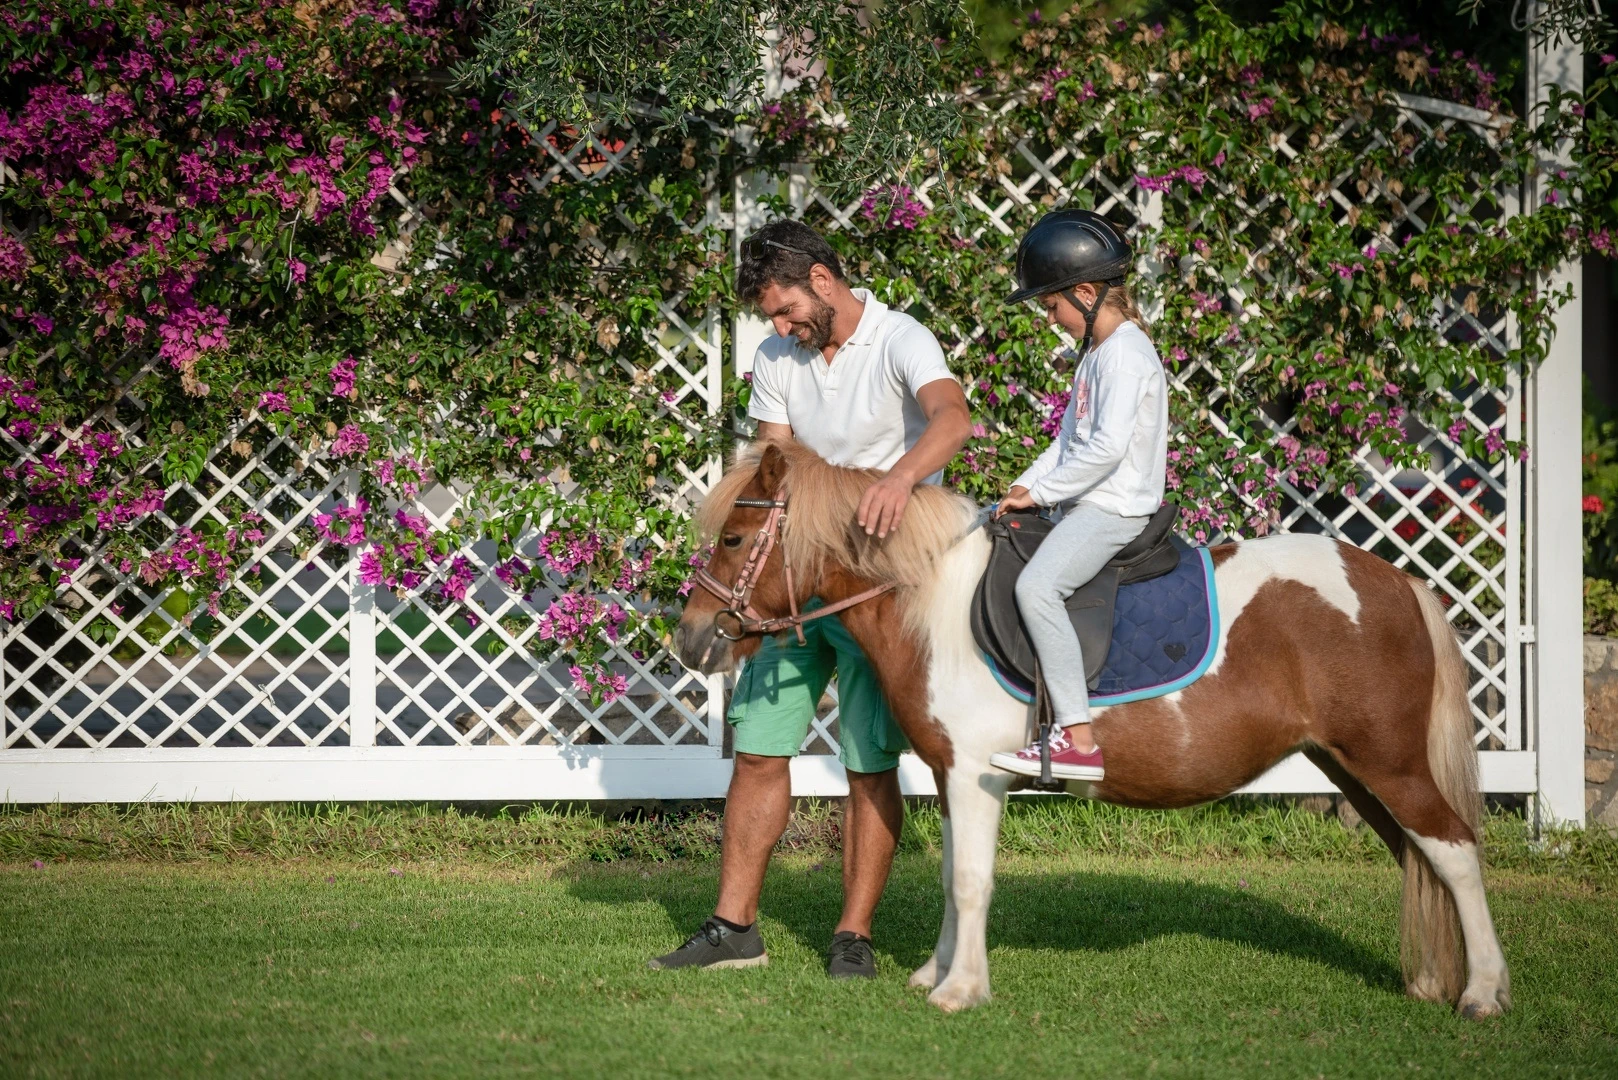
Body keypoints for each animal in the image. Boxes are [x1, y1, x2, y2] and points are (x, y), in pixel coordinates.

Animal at [673, 438, 1512, 1018]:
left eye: (734, 541)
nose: (691, 638)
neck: (933, 600)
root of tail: (1399, 581)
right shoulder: (949, 775)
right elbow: (950, 878)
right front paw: (936, 973)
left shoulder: (975, 775)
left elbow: (972, 881)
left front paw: (961, 991)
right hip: (1352, 766)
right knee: (1417, 854)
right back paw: (1431, 981)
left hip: (1388, 762)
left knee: (1455, 852)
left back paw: (1482, 993)